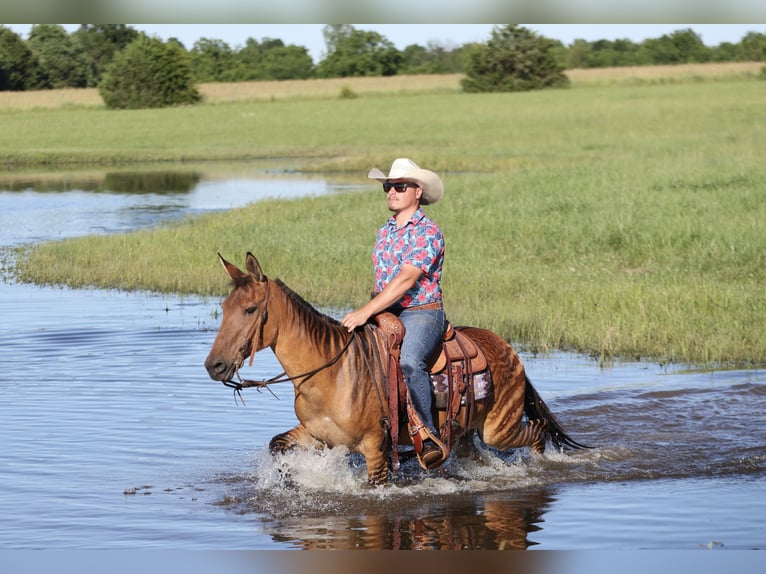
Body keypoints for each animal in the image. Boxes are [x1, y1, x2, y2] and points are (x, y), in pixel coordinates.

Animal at [204, 254, 588, 484]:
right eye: (224, 307)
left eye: (251, 309)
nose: (214, 365)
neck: (333, 373)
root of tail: (509, 349)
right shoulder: (316, 435)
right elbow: (276, 445)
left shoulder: (376, 449)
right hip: (465, 432)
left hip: (500, 427)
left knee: (537, 432)